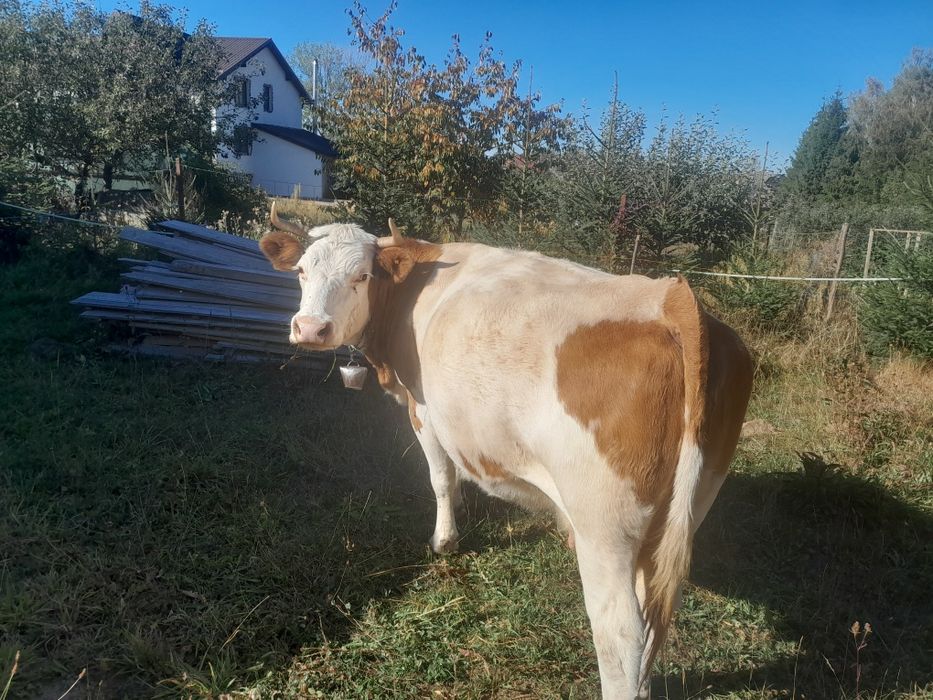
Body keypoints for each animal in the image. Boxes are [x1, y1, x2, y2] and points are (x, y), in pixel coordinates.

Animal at [259, 204, 754, 699]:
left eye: (361, 276)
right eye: (302, 271)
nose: (310, 328)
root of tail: (671, 298)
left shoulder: (424, 410)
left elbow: (440, 477)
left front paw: (445, 540)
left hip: (604, 523)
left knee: (621, 633)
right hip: (685, 505)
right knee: (653, 615)